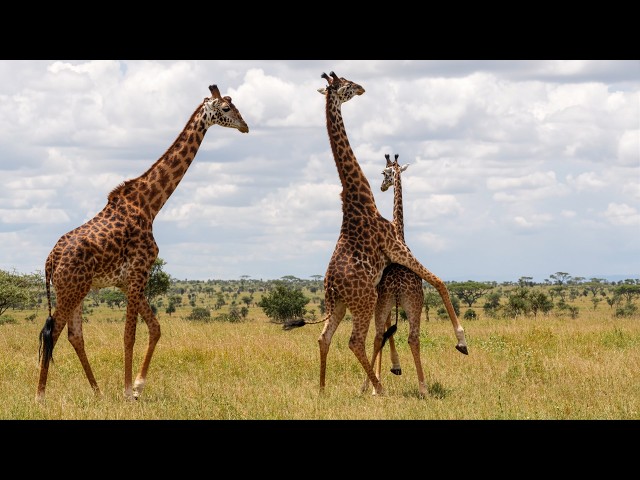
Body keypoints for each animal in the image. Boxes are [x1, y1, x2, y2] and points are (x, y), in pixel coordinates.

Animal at [36, 84, 249, 402]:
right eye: (225, 109)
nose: (245, 126)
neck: (150, 205)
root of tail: (51, 258)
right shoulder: (138, 273)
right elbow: (129, 335)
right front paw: (127, 391)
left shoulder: (129, 282)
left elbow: (156, 328)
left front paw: (137, 386)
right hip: (71, 289)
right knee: (53, 332)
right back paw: (40, 396)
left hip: (76, 289)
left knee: (75, 335)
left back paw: (97, 391)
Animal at [283, 72, 468, 396]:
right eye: (345, 83)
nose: (361, 88)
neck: (359, 198)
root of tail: (332, 287)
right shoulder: (395, 246)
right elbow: (439, 281)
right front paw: (461, 341)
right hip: (365, 299)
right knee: (356, 340)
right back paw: (379, 389)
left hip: (339, 304)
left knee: (324, 337)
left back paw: (323, 389)